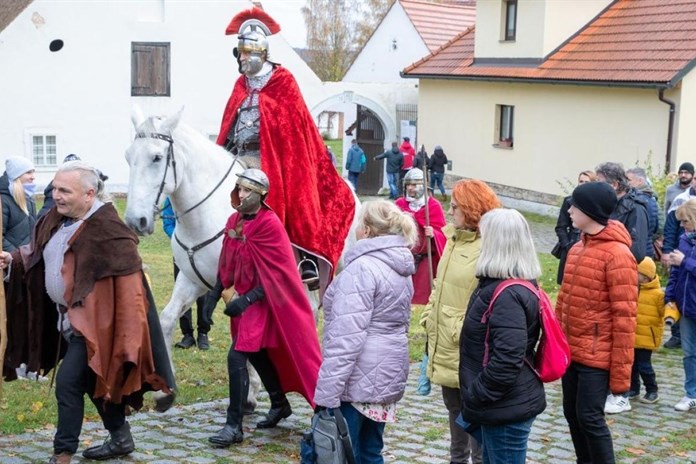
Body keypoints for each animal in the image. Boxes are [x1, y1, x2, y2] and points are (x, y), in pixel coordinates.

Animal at [125, 108, 362, 410]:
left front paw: (250, 391)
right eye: (128, 157)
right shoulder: (192, 281)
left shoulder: (240, 285)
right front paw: (164, 392)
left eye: (156, 157)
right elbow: (167, 319)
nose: (136, 221)